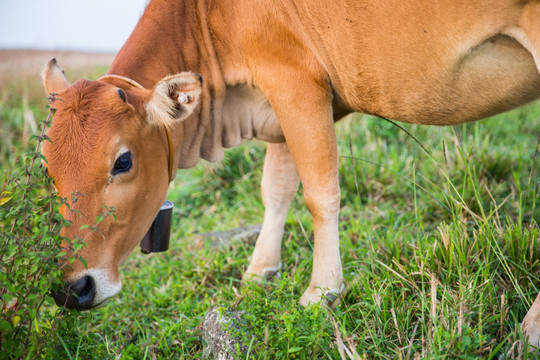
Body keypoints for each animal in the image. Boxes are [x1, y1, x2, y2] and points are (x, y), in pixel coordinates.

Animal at [43, 0, 540, 346]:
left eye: (123, 162)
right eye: (46, 167)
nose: (72, 289)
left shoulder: (296, 82)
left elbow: (320, 192)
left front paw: (322, 291)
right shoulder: (276, 109)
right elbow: (276, 189)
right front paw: (259, 271)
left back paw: (530, 329)